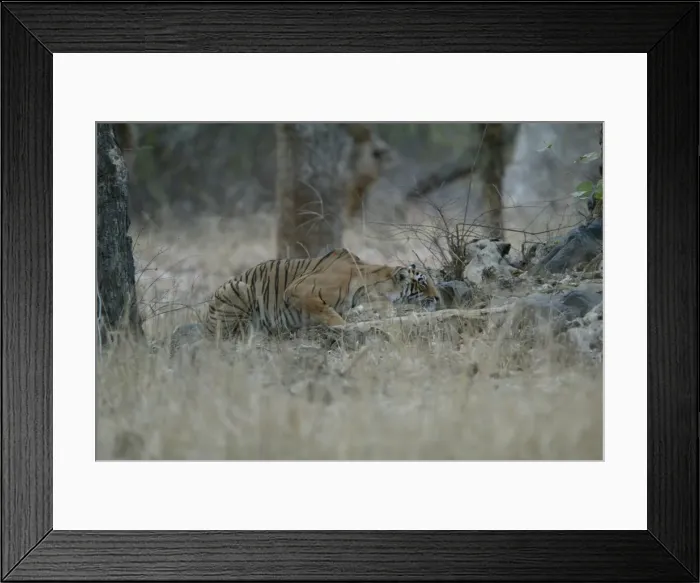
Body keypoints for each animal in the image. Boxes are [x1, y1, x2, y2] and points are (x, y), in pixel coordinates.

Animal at [169, 248, 440, 357]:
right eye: (422, 282)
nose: (438, 297)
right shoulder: (299, 290)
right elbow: (331, 314)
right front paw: (344, 327)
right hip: (241, 289)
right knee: (228, 335)